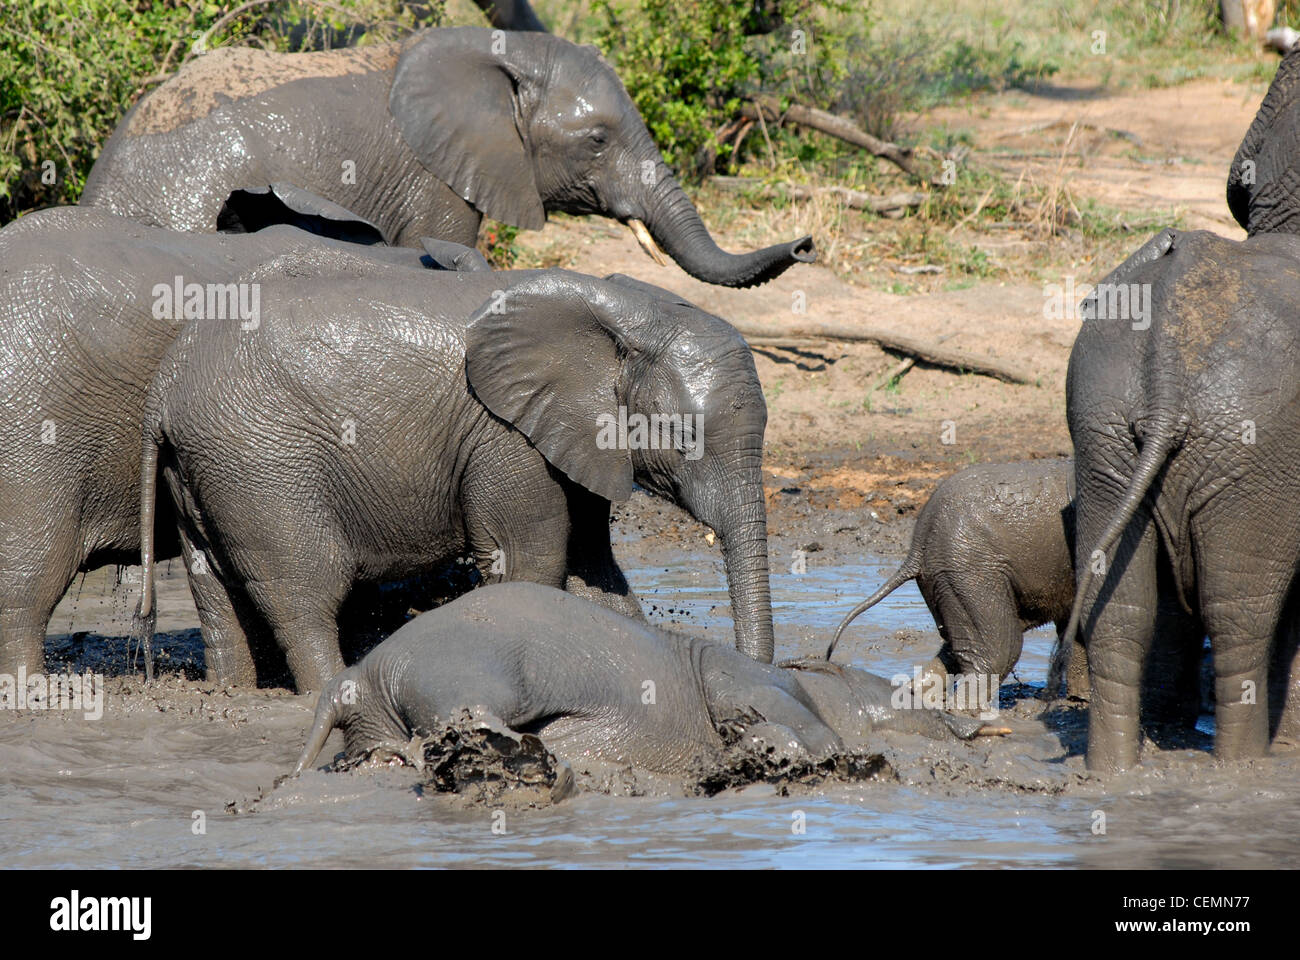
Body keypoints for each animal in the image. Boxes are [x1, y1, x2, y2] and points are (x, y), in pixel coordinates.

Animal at [135, 268, 777, 692]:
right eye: (683, 437)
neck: (627, 309)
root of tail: (165, 385)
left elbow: (594, 569)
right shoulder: (505, 436)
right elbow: (531, 561)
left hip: (204, 468)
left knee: (216, 592)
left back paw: (232, 695)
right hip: (261, 462)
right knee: (306, 592)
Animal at [294, 582, 1010, 777]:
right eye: (913, 693)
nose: (973, 724)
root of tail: (356, 674)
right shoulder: (751, 680)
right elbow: (804, 727)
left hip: (381, 708)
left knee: (388, 743)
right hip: (474, 666)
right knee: (457, 723)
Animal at [827, 458, 1201, 726]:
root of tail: (916, 546)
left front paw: (1079, 702)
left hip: (951, 577)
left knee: (958, 646)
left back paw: (919, 698)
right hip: (968, 568)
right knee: (999, 647)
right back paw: (970, 714)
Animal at [1063, 227, 1300, 771]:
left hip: (1100, 431)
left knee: (1119, 611)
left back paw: (1112, 771)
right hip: (1254, 452)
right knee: (1239, 613)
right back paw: (1242, 766)